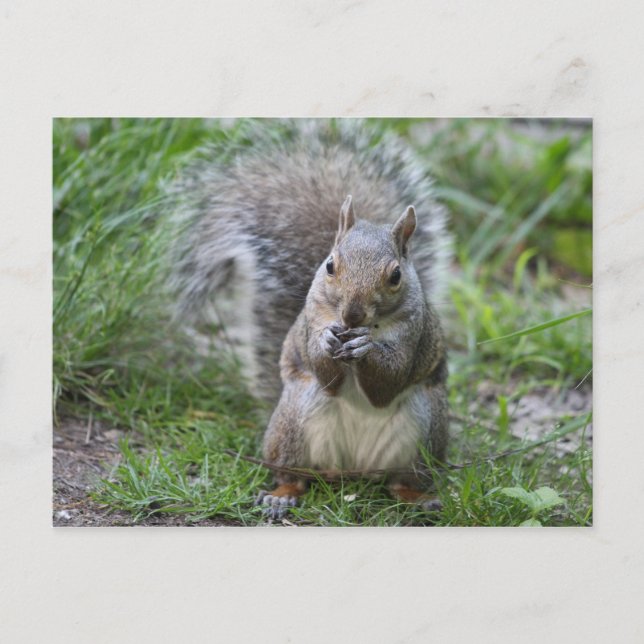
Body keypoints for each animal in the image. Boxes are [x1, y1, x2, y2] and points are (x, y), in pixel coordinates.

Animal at [170, 120, 452, 519]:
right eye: (330, 265)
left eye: (396, 275)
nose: (351, 314)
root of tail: (354, 471)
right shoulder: (311, 320)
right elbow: (325, 372)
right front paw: (326, 343)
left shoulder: (413, 333)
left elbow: (389, 381)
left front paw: (367, 347)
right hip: (293, 422)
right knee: (295, 475)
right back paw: (282, 495)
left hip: (423, 433)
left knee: (401, 482)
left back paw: (418, 499)